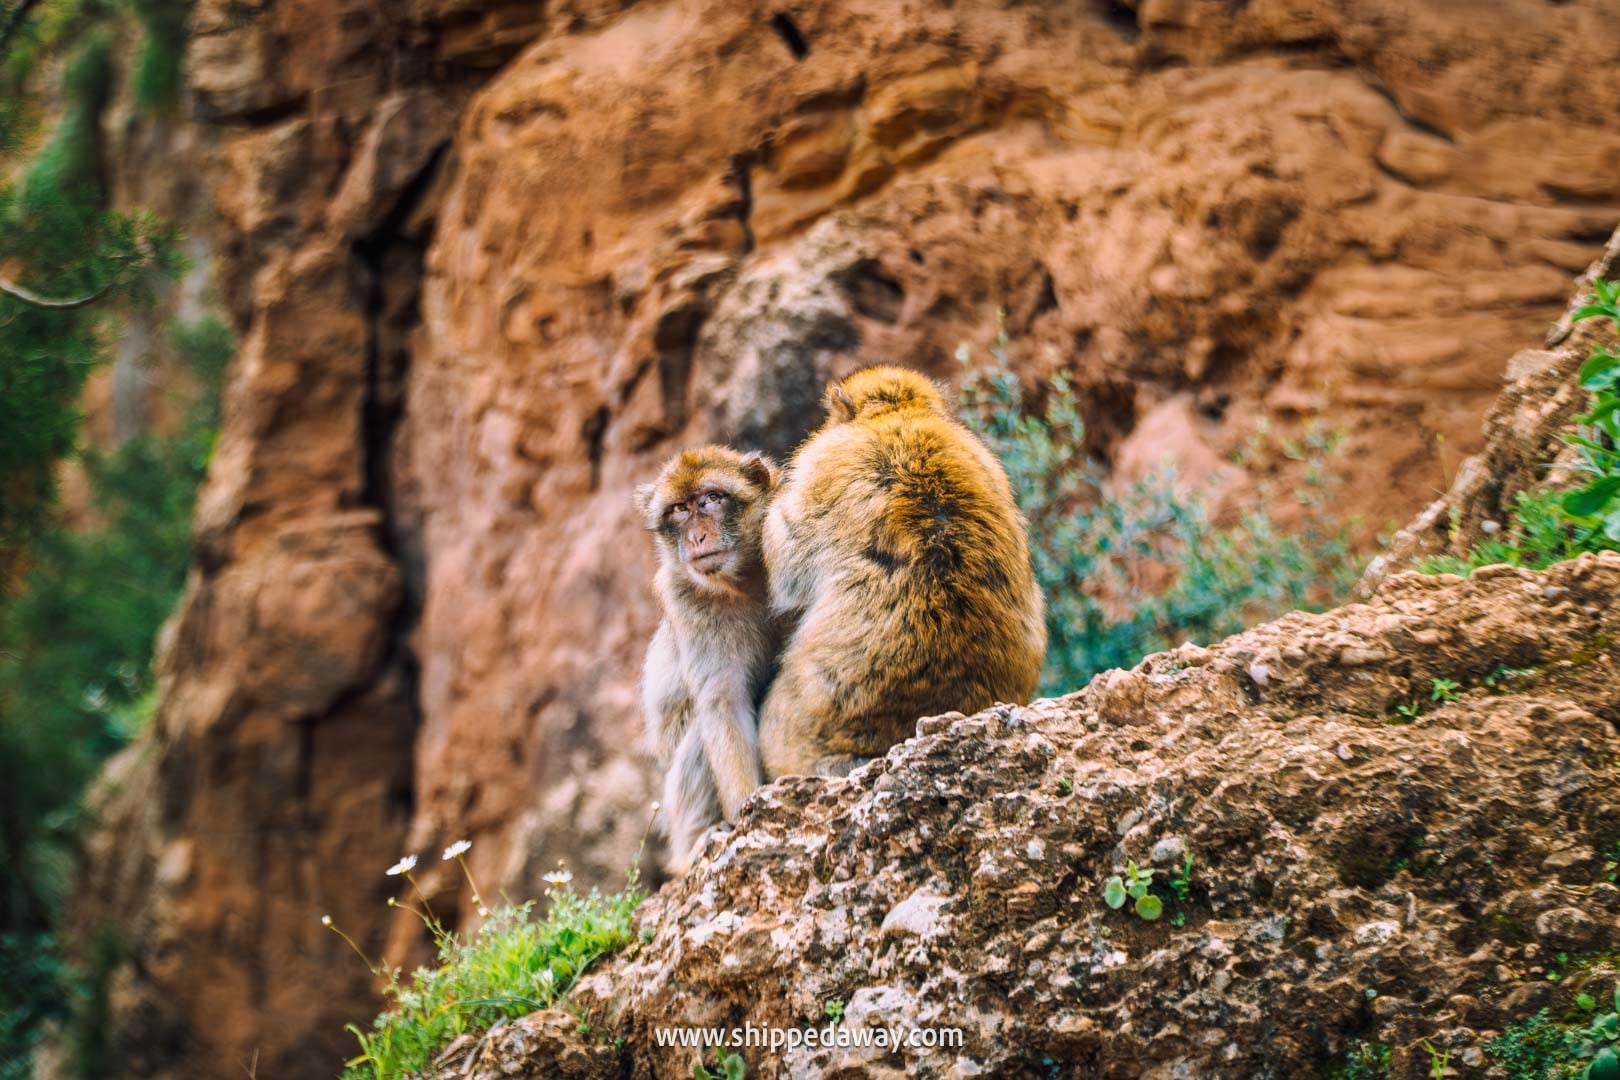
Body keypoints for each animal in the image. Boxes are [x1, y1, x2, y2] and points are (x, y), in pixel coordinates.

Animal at [636, 446, 781, 870]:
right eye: (679, 510)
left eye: (712, 499)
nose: (697, 536)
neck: (745, 581)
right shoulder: (687, 599)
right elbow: (722, 703)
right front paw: (748, 817)